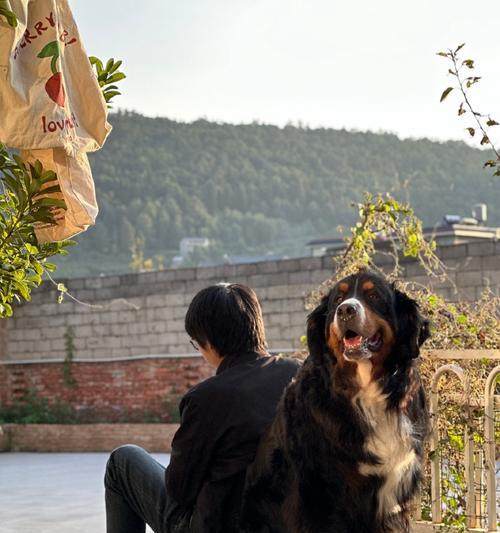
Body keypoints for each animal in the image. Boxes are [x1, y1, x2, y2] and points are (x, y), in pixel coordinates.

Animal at [241, 270, 430, 532]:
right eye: (337, 299)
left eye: (374, 296)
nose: (346, 310)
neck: (366, 390)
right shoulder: (318, 495)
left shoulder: (393, 499)